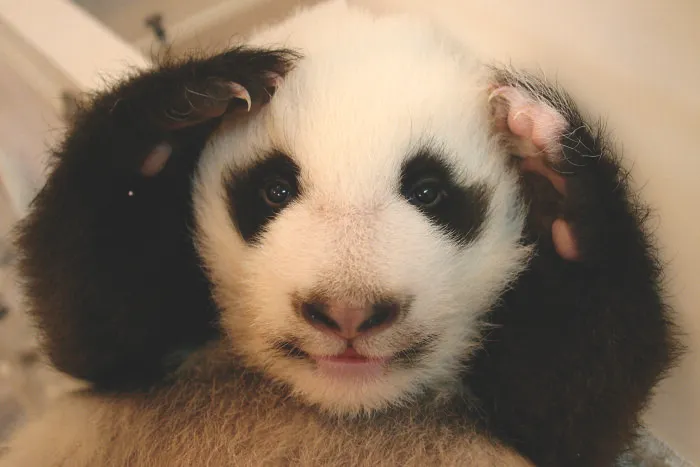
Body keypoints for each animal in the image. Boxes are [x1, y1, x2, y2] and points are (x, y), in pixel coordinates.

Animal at [0, 1, 681, 466]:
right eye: (274, 190)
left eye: (428, 191)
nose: (348, 312)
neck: (348, 405)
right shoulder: (151, 347)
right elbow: (93, 326)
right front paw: (184, 106)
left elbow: (571, 408)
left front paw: (555, 179)